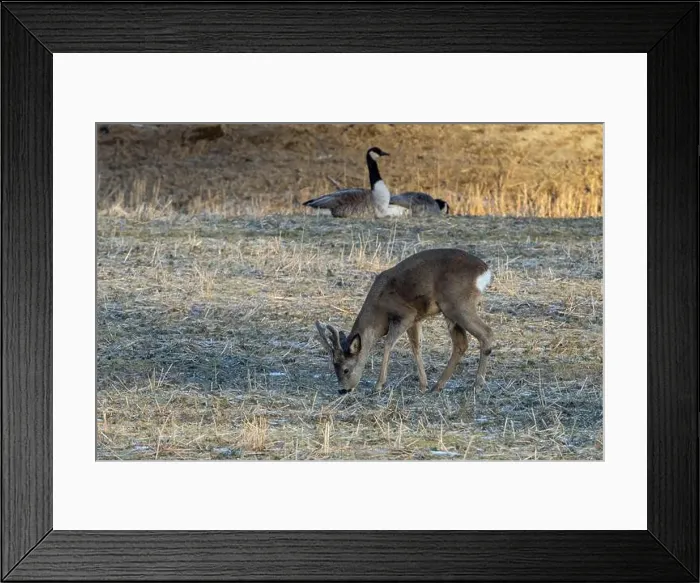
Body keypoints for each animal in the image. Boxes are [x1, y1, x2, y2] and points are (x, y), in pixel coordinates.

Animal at [314, 248, 495, 395]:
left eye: (345, 369)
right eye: (334, 367)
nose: (342, 390)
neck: (378, 311)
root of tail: (485, 272)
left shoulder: (407, 313)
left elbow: (388, 343)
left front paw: (378, 385)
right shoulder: (416, 319)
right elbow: (416, 347)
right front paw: (423, 384)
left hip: (458, 304)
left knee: (486, 333)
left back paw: (477, 385)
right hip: (450, 311)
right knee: (461, 344)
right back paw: (437, 386)